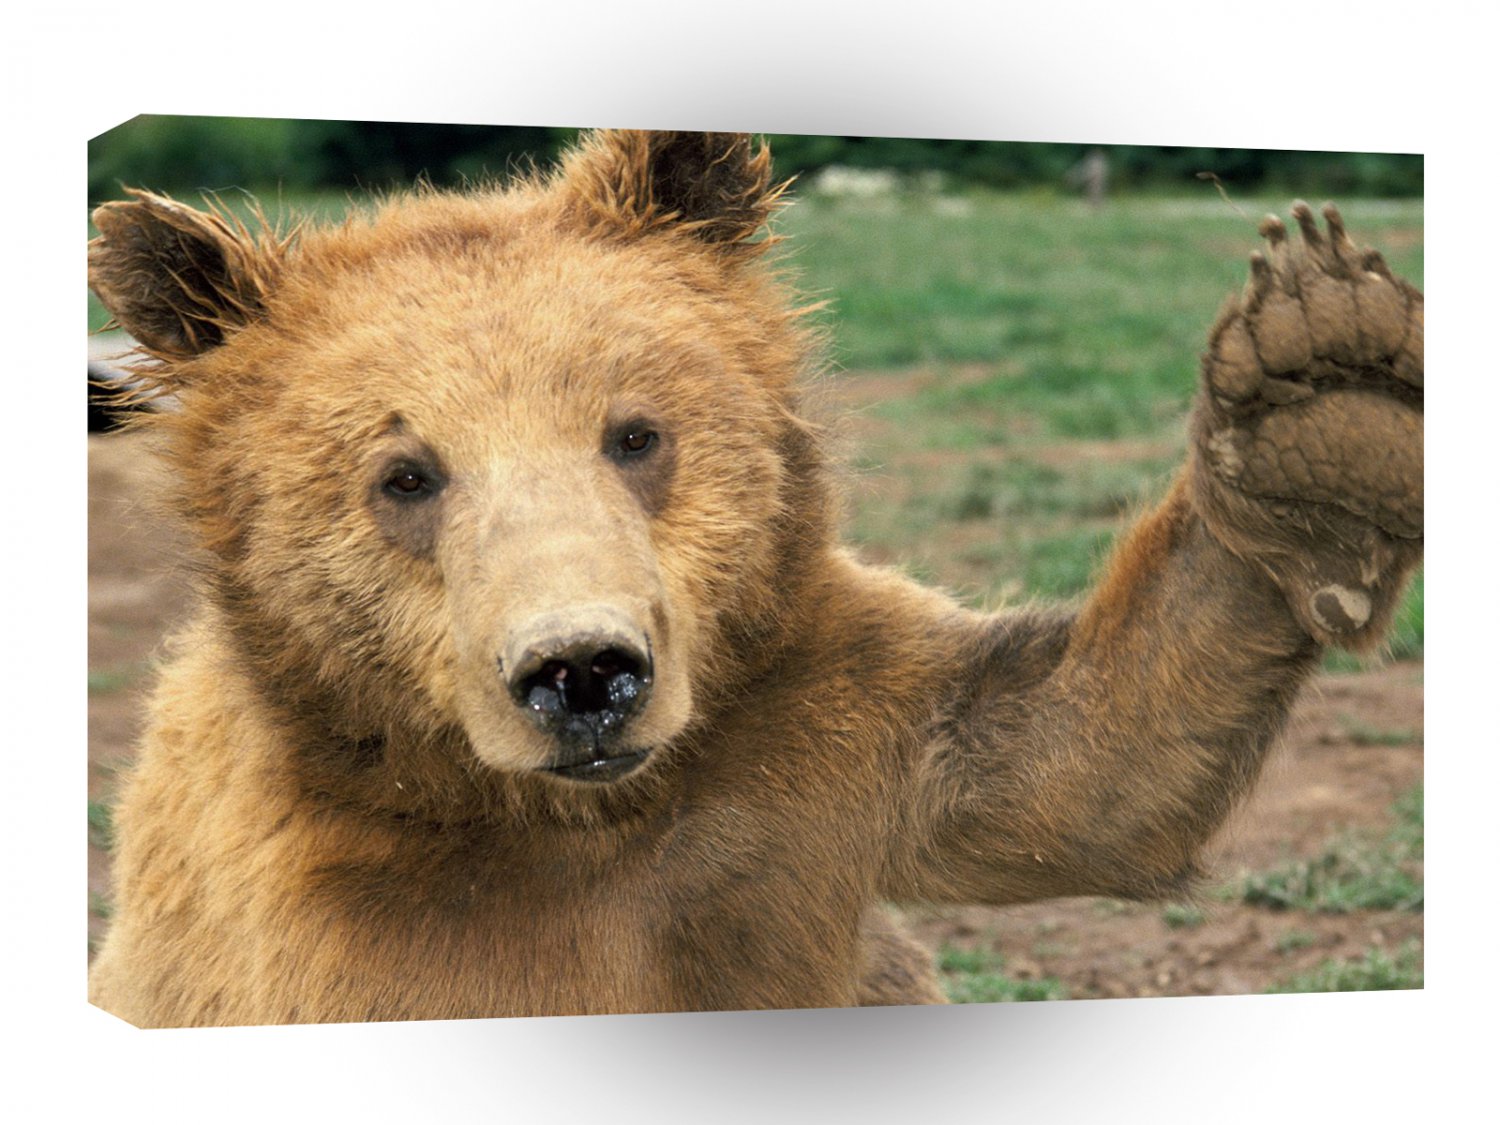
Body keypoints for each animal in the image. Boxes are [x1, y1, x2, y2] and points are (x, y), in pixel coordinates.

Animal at [86, 129, 1422, 1026]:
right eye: (405, 475)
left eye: (635, 433)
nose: (583, 673)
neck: (559, 823)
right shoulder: (339, 924)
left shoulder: (801, 750)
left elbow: (1077, 764)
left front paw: (1319, 396)